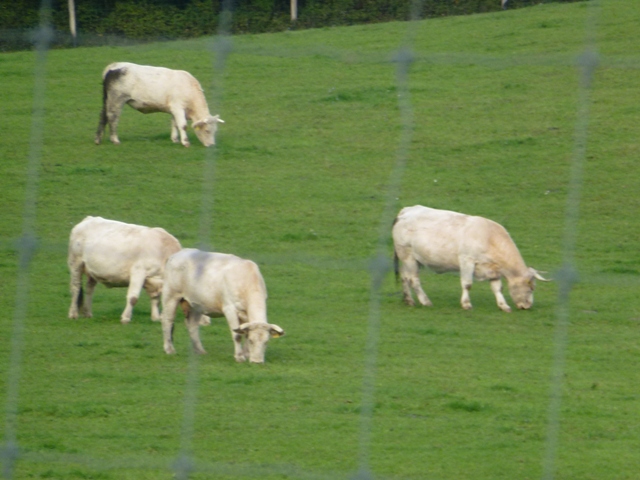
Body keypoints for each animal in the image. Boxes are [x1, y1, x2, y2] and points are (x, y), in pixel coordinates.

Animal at [94, 62, 225, 147]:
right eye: (207, 131)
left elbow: (174, 124)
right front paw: (185, 142)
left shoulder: (174, 109)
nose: (212, 145)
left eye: (215, 131)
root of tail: (113, 66)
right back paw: (115, 140)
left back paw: (98, 139)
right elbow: (182, 125)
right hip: (116, 99)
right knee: (112, 117)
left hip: (107, 99)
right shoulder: (178, 107)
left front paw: (175, 139)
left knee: (103, 116)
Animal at [390, 205, 552, 312]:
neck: (489, 237)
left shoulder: (493, 269)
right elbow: (467, 284)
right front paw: (466, 304)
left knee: (405, 277)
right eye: (531, 287)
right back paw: (425, 301)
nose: (528, 306)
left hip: (409, 259)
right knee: (413, 280)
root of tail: (407, 210)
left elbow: (497, 288)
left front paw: (503, 305)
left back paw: (409, 300)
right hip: (408, 255)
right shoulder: (466, 260)